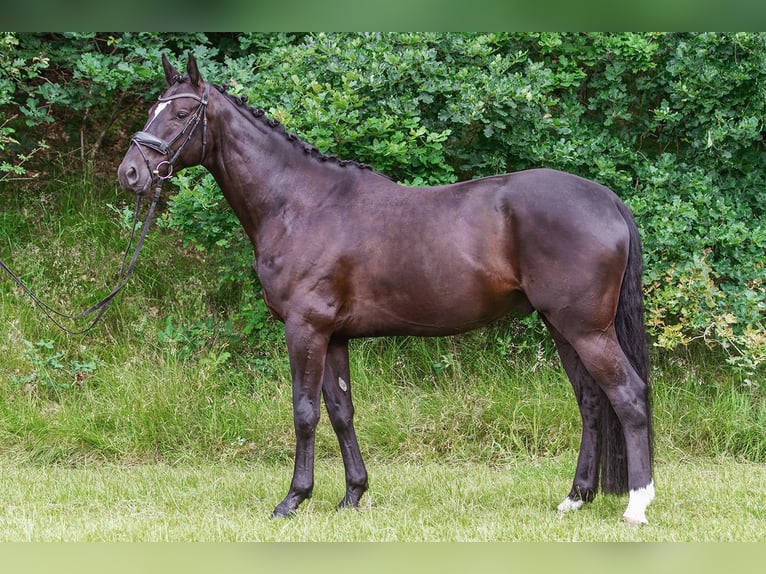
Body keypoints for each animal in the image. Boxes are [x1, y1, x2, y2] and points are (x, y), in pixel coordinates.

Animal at [117, 54, 656, 528]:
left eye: (181, 113)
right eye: (152, 110)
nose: (131, 173)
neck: (300, 204)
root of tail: (606, 198)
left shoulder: (305, 329)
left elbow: (305, 412)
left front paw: (293, 500)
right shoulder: (333, 335)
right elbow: (341, 412)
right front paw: (352, 495)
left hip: (586, 329)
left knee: (629, 396)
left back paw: (636, 505)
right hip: (562, 328)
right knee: (591, 402)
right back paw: (575, 498)